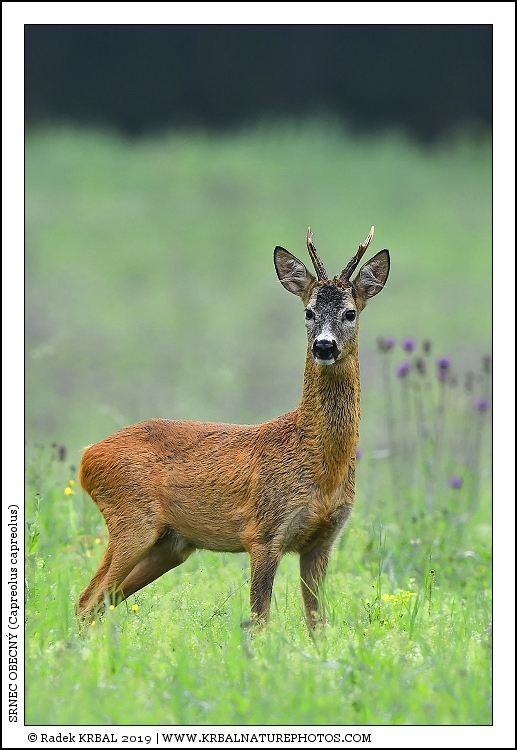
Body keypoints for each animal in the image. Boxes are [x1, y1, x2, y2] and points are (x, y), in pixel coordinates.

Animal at [77, 227, 390, 630]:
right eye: (308, 312)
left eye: (350, 312)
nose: (324, 346)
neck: (318, 462)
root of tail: (87, 457)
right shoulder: (263, 532)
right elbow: (259, 619)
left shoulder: (323, 540)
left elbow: (318, 624)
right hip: (131, 521)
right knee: (87, 600)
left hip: (170, 544)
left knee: (101, 602)